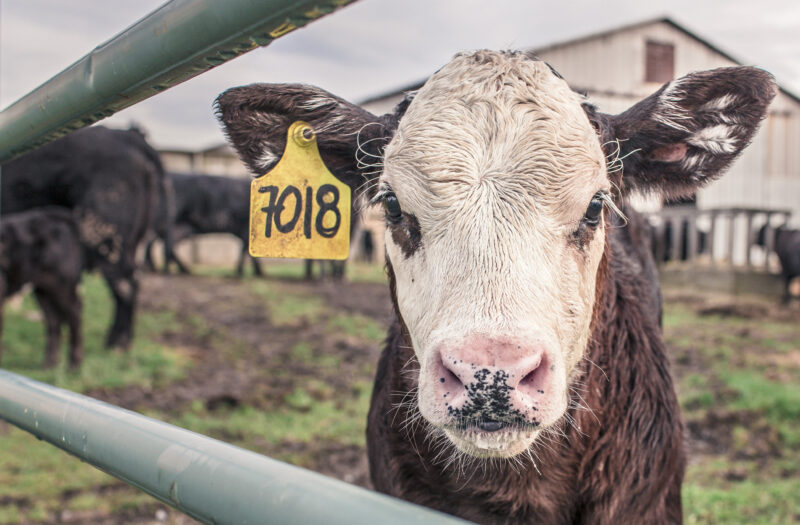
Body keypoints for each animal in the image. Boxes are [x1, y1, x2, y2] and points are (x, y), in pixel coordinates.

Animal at [0, 208, 84, 368]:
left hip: (62, 284)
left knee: (74, 313)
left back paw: (74, 364)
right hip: (43, 289)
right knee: (53, 320)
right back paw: (50, 363)